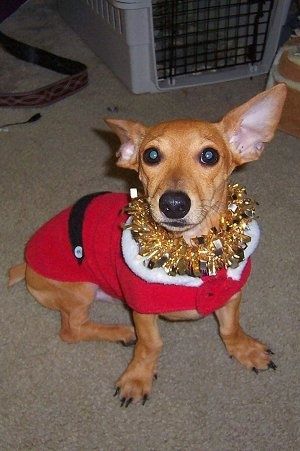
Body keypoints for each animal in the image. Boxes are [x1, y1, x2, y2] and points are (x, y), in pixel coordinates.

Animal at [8, 84, 286, 406]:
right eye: (151, 155)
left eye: (209, 156)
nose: (173, 204)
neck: (192, 251)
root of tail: (25, 264)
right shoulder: (142, 310)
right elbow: (151, 344)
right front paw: (138, 376)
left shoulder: (231, 292)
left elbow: (230, 328)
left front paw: (244, 349)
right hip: (80, 289)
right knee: (71, 330)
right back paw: (121, 331)